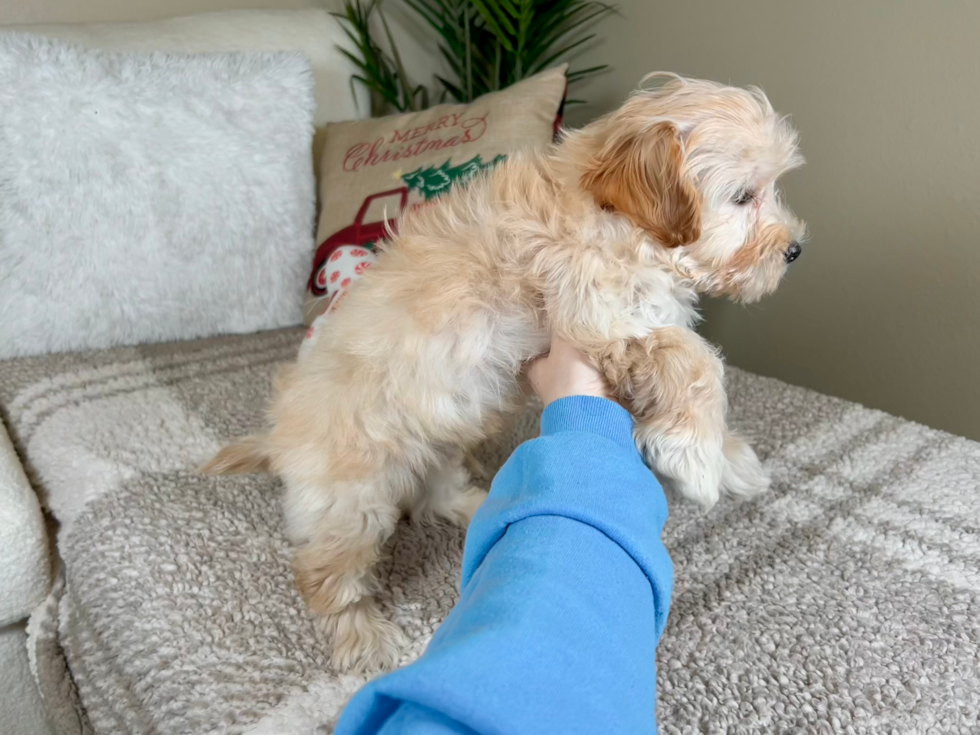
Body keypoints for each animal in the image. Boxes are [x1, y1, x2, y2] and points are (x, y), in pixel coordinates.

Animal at [205, 73, 804, 672]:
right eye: (743, 197)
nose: (796, 250)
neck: (616, 219)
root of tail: (278, 438)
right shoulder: (601, 320)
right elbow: (699, 363)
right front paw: (696, 460)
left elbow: (693, 369)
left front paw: (731, 461)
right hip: (352, 498)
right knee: (325, 573)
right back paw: (362, 636)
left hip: (434, 445)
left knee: (432, 497)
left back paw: (487, 504)